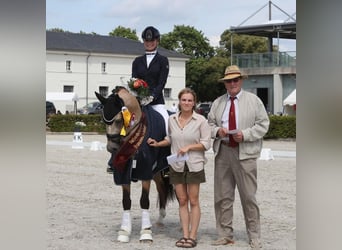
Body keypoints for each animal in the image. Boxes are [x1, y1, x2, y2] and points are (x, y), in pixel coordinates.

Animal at [95, 87, 174, 243]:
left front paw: (146, 233)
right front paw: (124, 232)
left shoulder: (145, 172)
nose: (111, 148)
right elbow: (126, 201)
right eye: (103, 120)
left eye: (119, 120)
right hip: (156, 172)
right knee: (162, 188)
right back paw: (160, 219)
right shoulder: (123, 173)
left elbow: (144, 201)